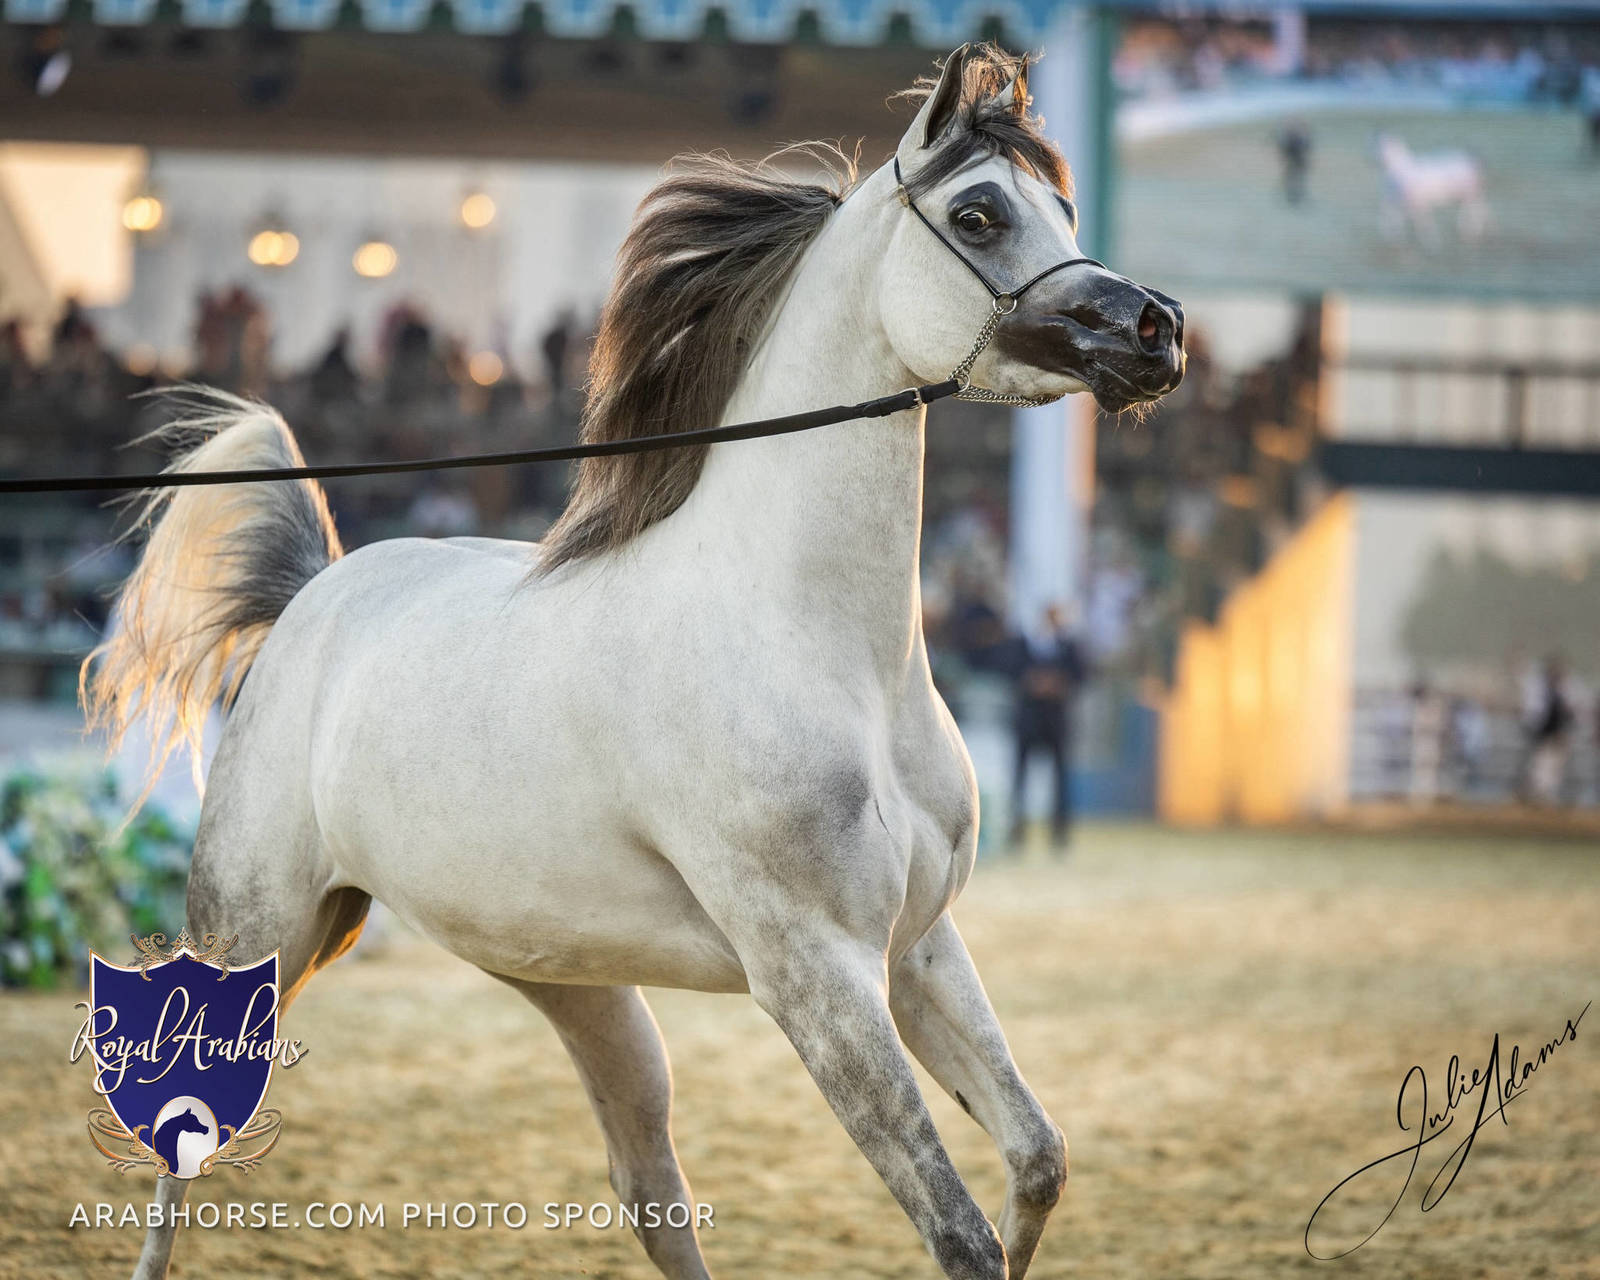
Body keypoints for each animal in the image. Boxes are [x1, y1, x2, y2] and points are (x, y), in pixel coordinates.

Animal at [87, 44, 1184, 1280]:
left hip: (571, 980)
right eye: (981, 212)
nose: (1157, 330)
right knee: (179, 1152)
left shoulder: (918, 948)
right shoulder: (816, 976)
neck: (817, 649)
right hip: (253, 939)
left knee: (649, 1186)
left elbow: (1038, 1160)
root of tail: (314, 596)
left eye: (1066, 208)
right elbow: (960, 1233)